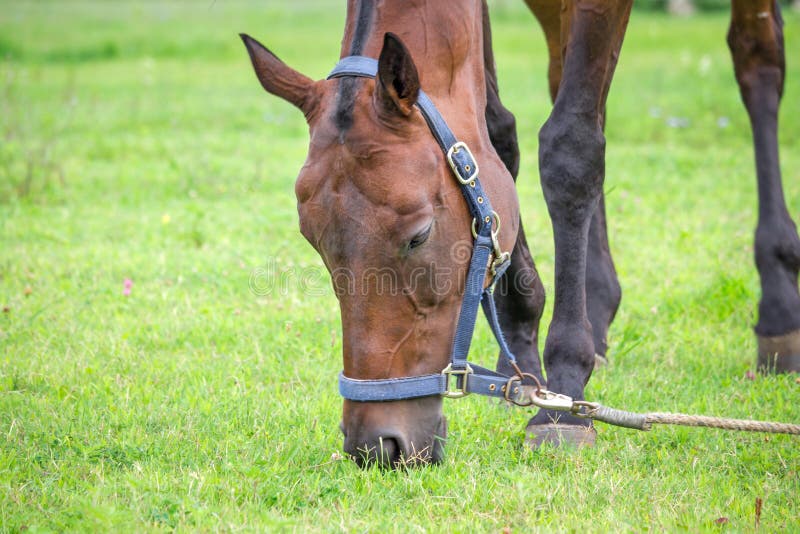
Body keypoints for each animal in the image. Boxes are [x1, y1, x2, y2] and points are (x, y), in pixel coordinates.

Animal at [240, 0, 800, 467]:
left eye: (419, 236)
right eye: (316, 244)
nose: (378, 445)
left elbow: (571, 147)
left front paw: (564, 397)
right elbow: (497, 134)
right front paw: (523, 355)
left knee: (758, 62)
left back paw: (778, 306)